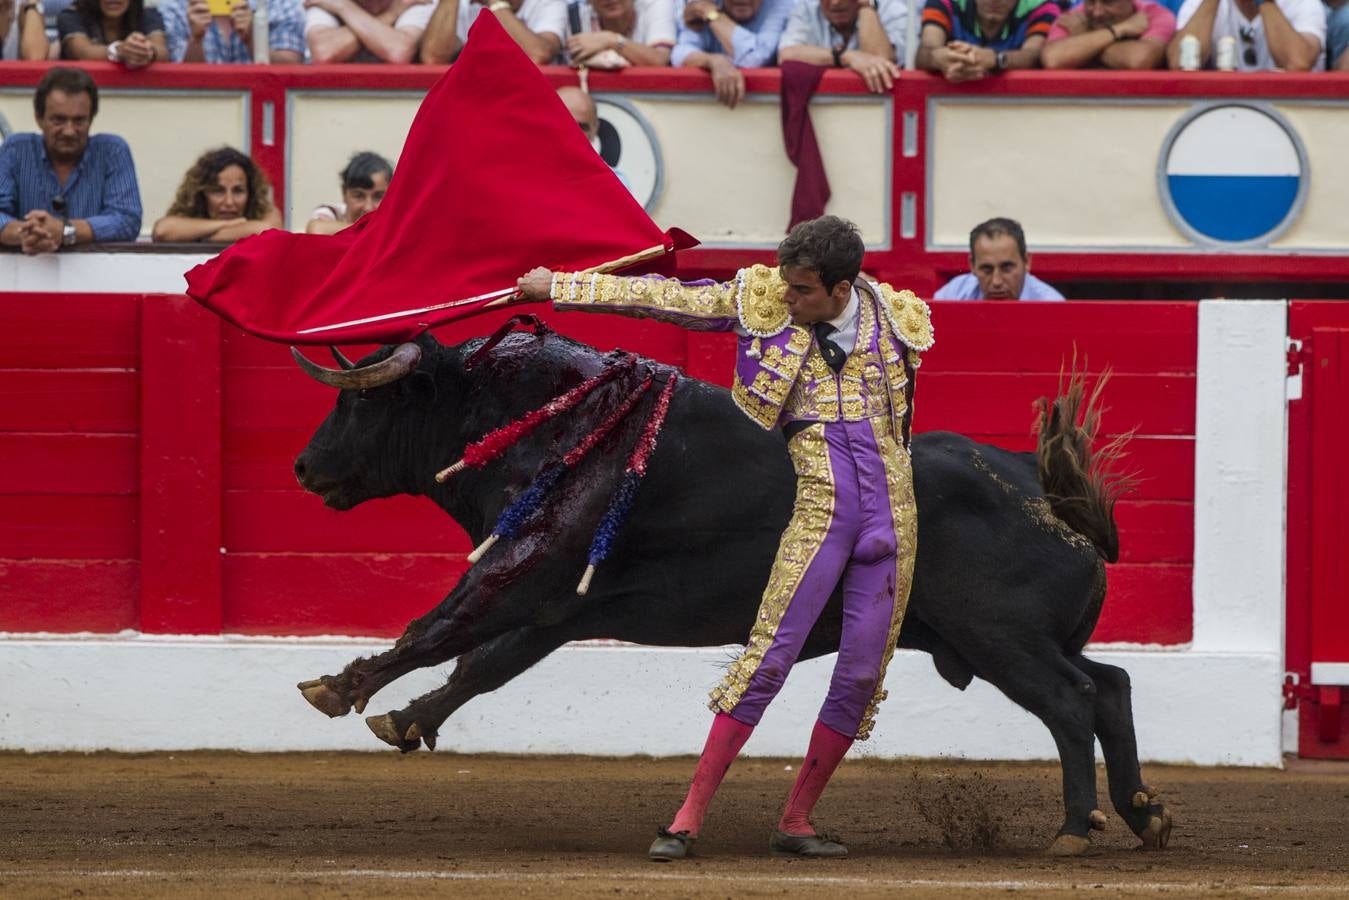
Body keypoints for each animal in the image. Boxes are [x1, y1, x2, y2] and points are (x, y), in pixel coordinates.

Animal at [292, 327, 1170, 858]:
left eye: (360, 399)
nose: (304, 466)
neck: (560, 422)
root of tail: (1041, 487)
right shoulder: (559, 606)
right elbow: (481, 664)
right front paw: (406, 719)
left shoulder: (525, 567)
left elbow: (439, 625)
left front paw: (339, 686)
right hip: (1013, 641)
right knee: (1110, 685)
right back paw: (1142, 812)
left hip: (1002, 639)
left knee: (1069, 701)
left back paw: (1074, 828)